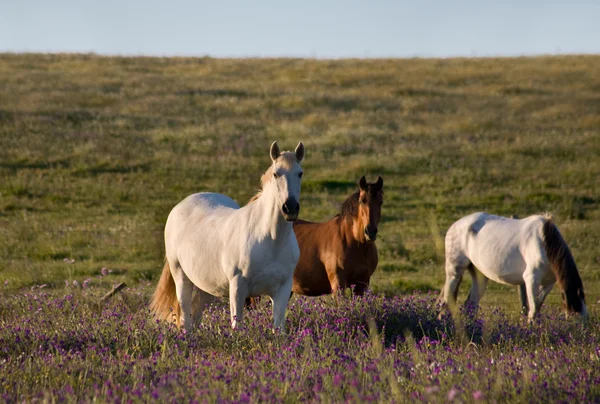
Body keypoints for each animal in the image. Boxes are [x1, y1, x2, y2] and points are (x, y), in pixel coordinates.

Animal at [150, 142, 304, 332]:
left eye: (300, 173)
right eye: (276, 174)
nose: (290, 208)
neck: (271, 241)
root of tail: (180, 206)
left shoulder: (282, 290)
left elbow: (279, 328)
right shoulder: (237, 288)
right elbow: (236, 325)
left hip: (206, 287)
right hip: (181, 277)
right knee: (186, 319)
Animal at [438, 213, 588, 320]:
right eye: (576, 318)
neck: (545, 242)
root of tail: (455, 225)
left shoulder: (548, 283)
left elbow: (538, 306)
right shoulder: (531, 279)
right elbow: (533, 310)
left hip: (479, 276)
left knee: (471, 305)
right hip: (454, 271)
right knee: (446, 301)